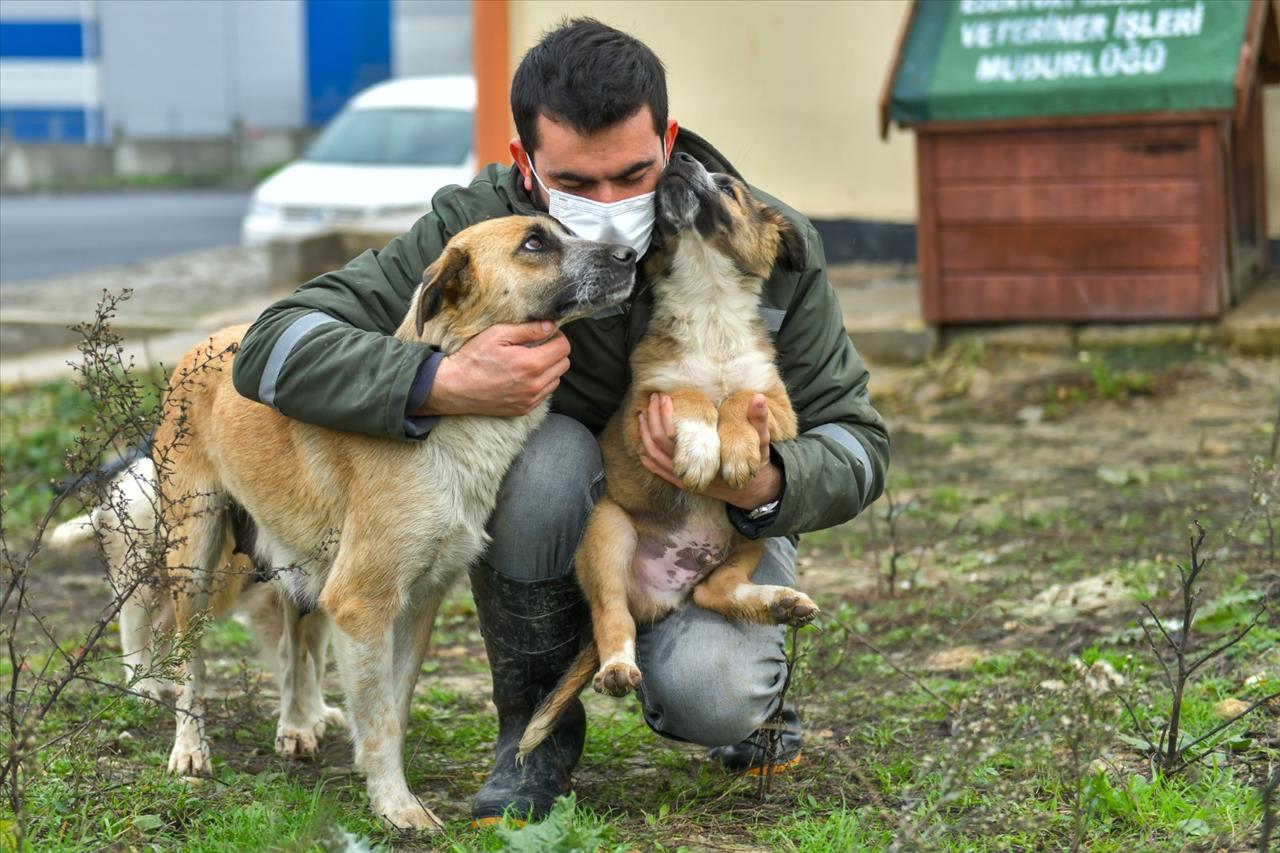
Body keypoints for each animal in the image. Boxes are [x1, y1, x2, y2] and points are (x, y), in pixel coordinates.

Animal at [154, 213, 634, 829]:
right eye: (534, 243)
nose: (631, 255)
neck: (452, 425)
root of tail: (207, 341)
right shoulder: (361, 603)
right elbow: (379, 717)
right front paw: (397, 807)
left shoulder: (419, 601)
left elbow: (394, 707)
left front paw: (381, 784)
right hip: (194, 558)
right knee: (189, 661)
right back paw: (189, 751)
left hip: (298, 563)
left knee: (294, 643)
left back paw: (296, 724)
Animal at [519, 153, 819, 758]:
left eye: (728, 188)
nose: (680, 160)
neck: (709, 304)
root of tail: (662, 595)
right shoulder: (644, 407)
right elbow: (691, 396)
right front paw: (704, 445)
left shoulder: (779, 409)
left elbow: (740, 399)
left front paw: (734, 448)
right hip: (608, 531)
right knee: (613, 617)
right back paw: (616, 667)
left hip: (753, 531)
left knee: (714, 589)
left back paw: (779, 602)